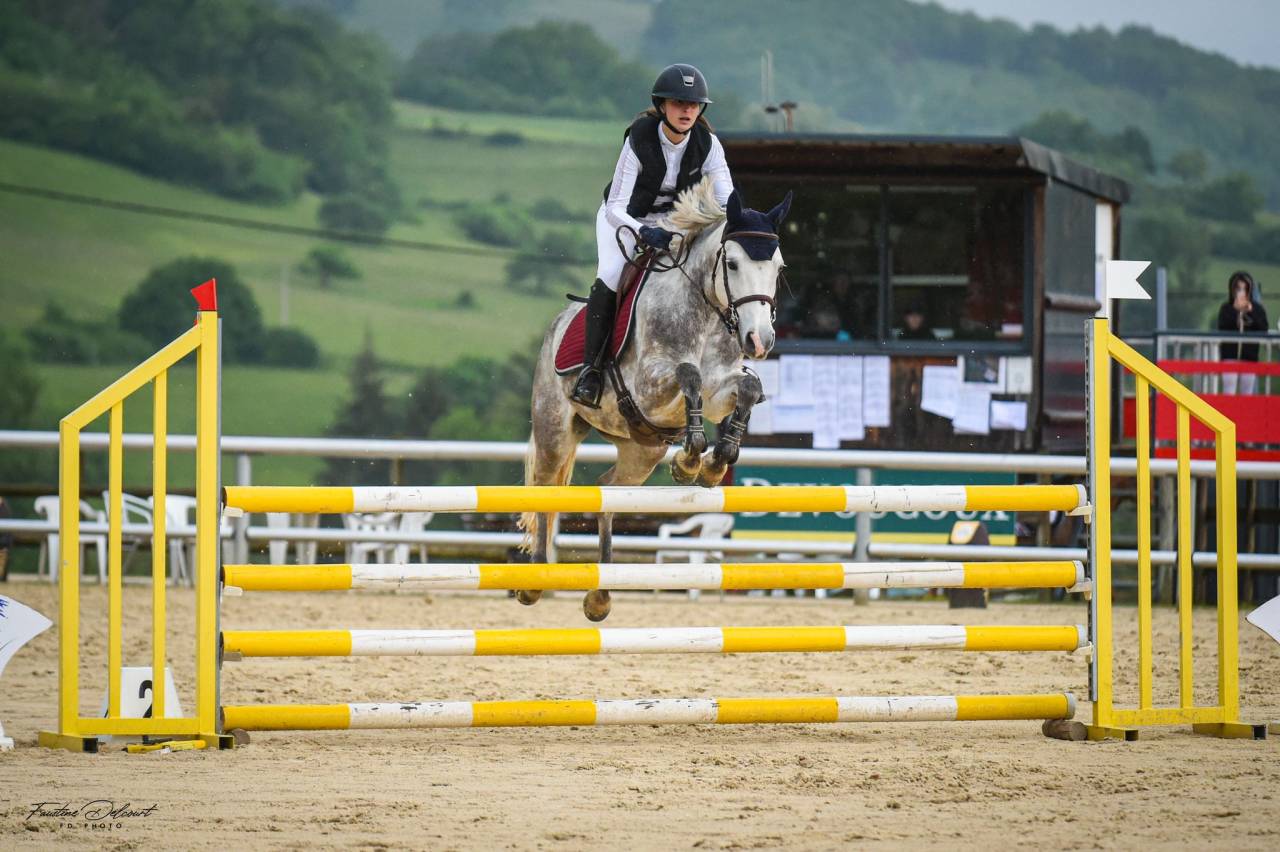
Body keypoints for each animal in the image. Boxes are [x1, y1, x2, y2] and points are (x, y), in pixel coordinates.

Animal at [520, 177, 792, 621]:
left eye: (779, 267)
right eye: (732, 264)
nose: (759, 341)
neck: (705, 311)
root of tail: (557, 326)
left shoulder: (720, 389)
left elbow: (747, 388)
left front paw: (714, 462)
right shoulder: (648, 387)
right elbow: (689, 373)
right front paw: (692, 457)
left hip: (641, 451)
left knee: (608, 491)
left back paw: (600, 596)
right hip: (554, 429)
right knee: (546, 487)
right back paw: (534, 579)